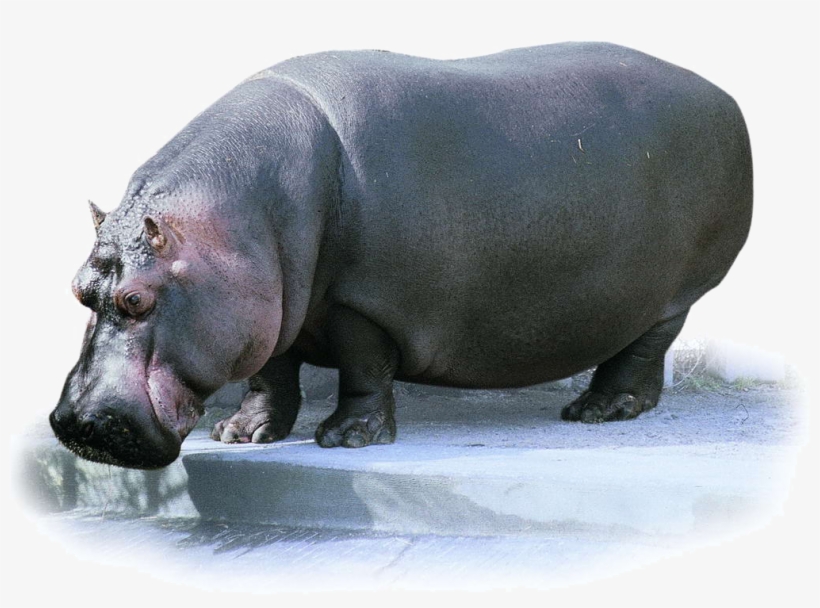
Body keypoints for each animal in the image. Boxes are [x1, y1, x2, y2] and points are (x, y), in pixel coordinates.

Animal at [50, 43, 752, 469]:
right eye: (79, 290)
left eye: (137, 298)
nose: (80, 423)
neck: (233, 223)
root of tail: (722, 93)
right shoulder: (271, 304)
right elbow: (271, 373)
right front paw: (241, 435)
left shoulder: (363, 303)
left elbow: (363, 368)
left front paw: (345, 440)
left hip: (678, 291)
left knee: (643, 349)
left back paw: (595, 412)